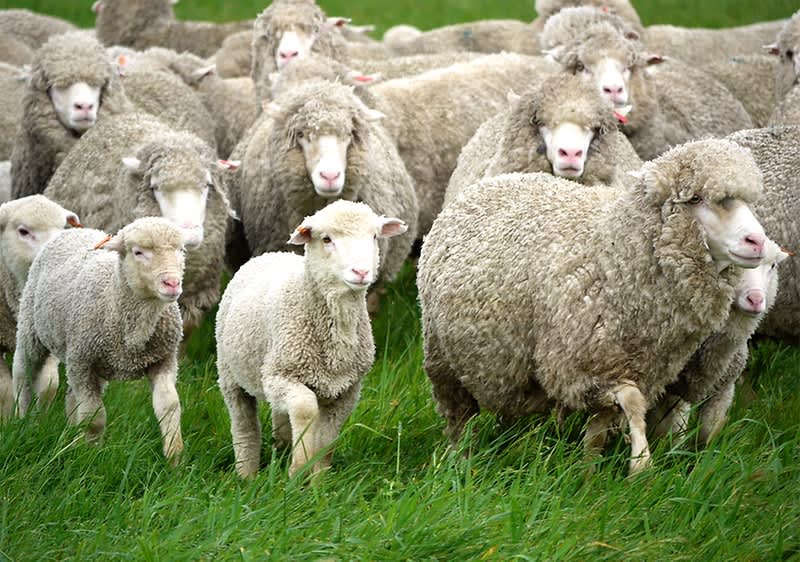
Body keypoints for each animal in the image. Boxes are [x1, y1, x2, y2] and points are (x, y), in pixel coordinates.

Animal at [0, 195, 80, 419]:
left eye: (63, 228)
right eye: (23, 231)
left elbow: (49, 385)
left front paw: (40, 417)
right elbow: (5, 391)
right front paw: (8, 418)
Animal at [12, 218, 187, 463]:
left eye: (181, 250)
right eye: (138, 252)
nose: (172, 283)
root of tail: (78, 231)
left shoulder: (163, 361)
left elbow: (169, 406)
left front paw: (174, 457)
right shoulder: (83, 364)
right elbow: (95, 417)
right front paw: (91, 456)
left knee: (71, 398)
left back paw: (72, 437)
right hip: (32, 330)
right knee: (23, 375)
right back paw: (22, 420)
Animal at [215, 200, 407, 478]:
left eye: (373, 236)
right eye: (326, 239)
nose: (361, 271)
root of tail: (271, 254)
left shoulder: (348, 391)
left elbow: (326, 440)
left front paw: (318, 481)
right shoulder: (279, 376)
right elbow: (306, 409)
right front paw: (299, 466)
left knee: (280, 416)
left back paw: (282, 447)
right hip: (230, 375)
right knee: (244, 426)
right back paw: (246, 474)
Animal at [418, 139, 767, 473]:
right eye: (694, 199)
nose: (757, 241)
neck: (614, 256)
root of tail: (495, 181)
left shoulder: (625, 368)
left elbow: (599, 431)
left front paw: (588, 473)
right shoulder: (579, 367)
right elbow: (633, 402)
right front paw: (640, 464)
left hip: (510, 364)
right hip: (443, 361)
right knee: (459, 420)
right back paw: (461, 463)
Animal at [648, 240, 789, 446]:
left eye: (772, 266)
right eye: (731, 266)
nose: (755, 299)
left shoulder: (724, 387)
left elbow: (708, 432)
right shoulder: (672, 386)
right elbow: (672, 430)